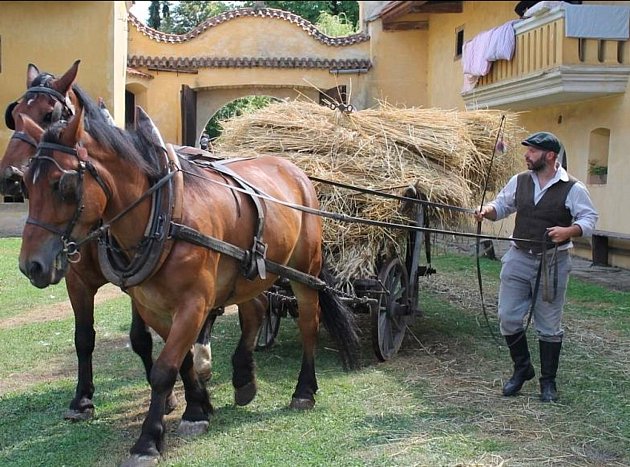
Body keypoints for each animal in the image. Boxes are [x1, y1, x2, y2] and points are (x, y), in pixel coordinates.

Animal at [1, 60, 215, 422]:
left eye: (49, 113)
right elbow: (83, 337)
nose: (10, 177)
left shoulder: (138, 280)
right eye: (14, 116)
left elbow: (140, 338)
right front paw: (82, 398)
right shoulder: (77, 281)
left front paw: (171, 397)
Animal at [18, 88, 360, 464]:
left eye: (62, 184)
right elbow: (177, 358)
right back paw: (244, 377)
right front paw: (198, 407)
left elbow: (164, 368)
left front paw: (148, 440)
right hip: (251, 272)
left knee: (308, 324)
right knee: (255, 310)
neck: (164, 215)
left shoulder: (194, 303)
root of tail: (294, 169)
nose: (31, 265)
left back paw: (304, 390)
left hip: (304, 272)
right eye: (26, 184)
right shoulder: (152, 305)